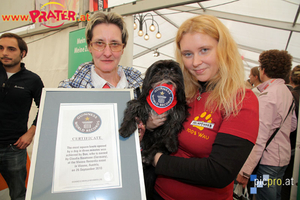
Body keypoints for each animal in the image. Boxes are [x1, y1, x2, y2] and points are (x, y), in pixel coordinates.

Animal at [119, 59, 188, 198]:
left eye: (173, 69)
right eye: (158, 69)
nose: (166, 72)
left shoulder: (178, 110)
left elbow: (173, 126)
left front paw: (172, 143)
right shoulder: (140, 104)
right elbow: (131, 111)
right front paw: (125, 128)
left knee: (158, 146)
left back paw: (146, 156)